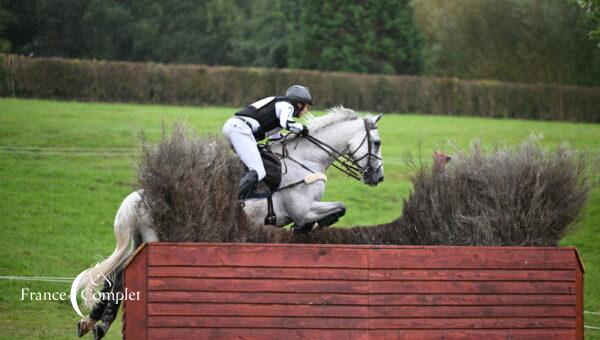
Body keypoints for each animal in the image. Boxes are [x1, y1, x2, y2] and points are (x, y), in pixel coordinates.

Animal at [71, 106, 384, 338]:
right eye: (378, 143)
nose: (378, 177)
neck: (305, 160)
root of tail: (141, 195)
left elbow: (336, 211)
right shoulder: (303, 209)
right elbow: (337, 209)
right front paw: (309, 227)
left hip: (140, 240)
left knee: (117, 275)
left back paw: (96, 322)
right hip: (155, 238)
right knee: (122, 275)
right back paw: (98, 322)